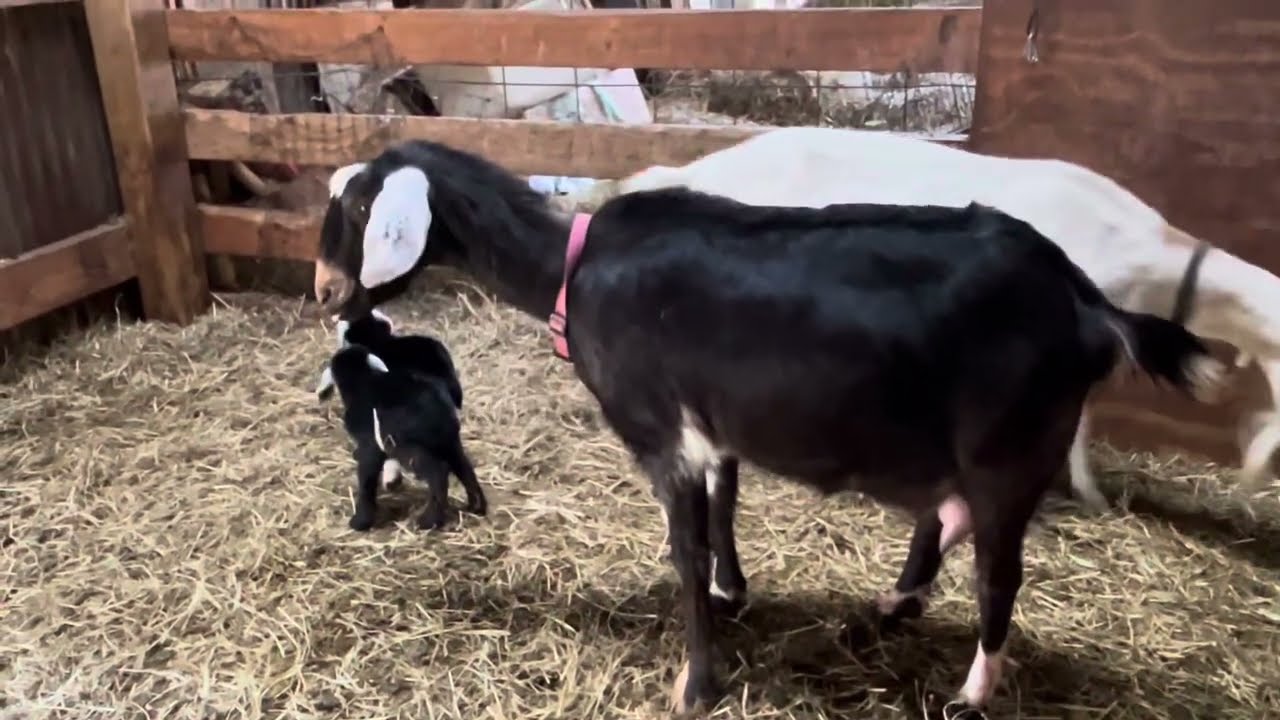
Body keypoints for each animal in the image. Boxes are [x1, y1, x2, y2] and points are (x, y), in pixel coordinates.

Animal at [316, 340, 486, 532]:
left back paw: (429, 521)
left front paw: (361, 520)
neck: (363, 379)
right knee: (463, 466)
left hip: (407, 445)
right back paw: (476, 506)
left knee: (439, 471)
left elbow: (367, 478)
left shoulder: (371, 444)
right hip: (448, 439)